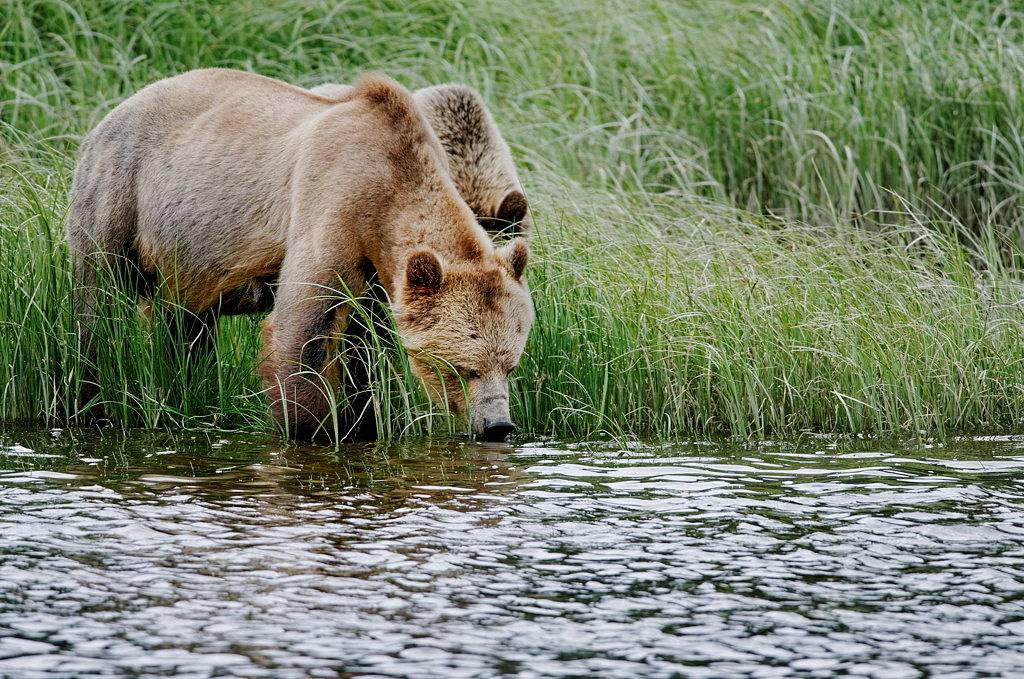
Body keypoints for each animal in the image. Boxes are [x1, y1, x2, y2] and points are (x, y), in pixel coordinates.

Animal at [67, 67, 532, 440]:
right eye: (463, 367)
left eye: (510, 364)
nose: (498, 426)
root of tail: (113, 111)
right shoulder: (332, 207)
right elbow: (300, 329)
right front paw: (313, 430)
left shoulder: (380, 277)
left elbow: (366, 351)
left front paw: (365, 421)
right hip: (119, 194)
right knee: (96, 309)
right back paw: (89, 404)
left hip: (187, 254)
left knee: (184, 326)